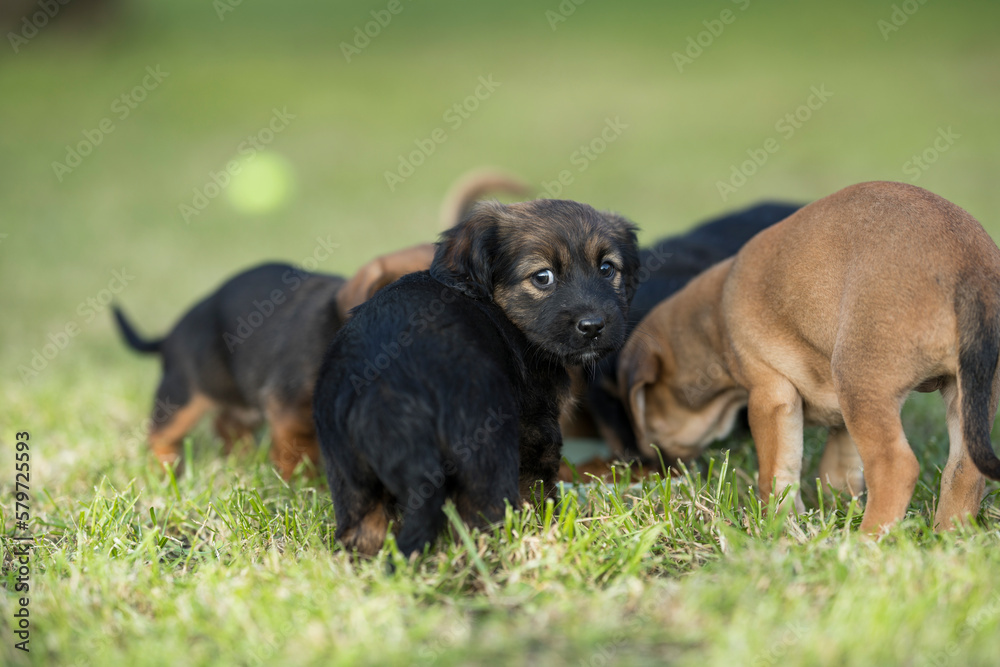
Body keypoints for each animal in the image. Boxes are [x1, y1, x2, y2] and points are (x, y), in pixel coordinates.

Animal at [314, 200, 640, 560]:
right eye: (543, 277)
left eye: (607, 269)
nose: (593, 326)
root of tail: (394, 393)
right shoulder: (536, 425)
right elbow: (539, 488)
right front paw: (551, 525)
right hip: (486, 448)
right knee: (480, 520)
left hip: (348, 469)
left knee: (362, 529)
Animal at [620, 180, 1000, 536]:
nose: (653, 464)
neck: (715, 318)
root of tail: (971, 267)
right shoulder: (840, 419)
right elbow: (837, 470)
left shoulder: (771, 395)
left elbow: (776, 473)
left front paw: (778, 523)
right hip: (967, 396)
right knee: (964, 470)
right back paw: (948, 534)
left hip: (862, 384)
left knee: (896, 467)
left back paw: (866, 539)